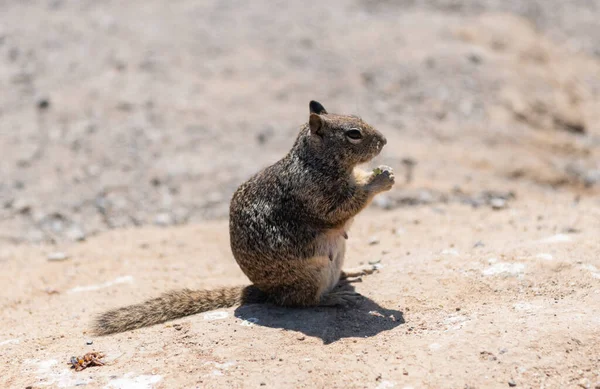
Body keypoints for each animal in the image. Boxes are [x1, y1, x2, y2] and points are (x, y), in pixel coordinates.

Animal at [94, 100, 394, 334]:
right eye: (353, 134)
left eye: (357, 118)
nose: (385, 140)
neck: (315, 161)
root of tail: (264, 292)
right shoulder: (315, 195)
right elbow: (342, 210)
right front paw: (379, 181)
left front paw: (382, 172)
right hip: (310, 276)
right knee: (300, 301)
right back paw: (334, 297)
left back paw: (352, 272)